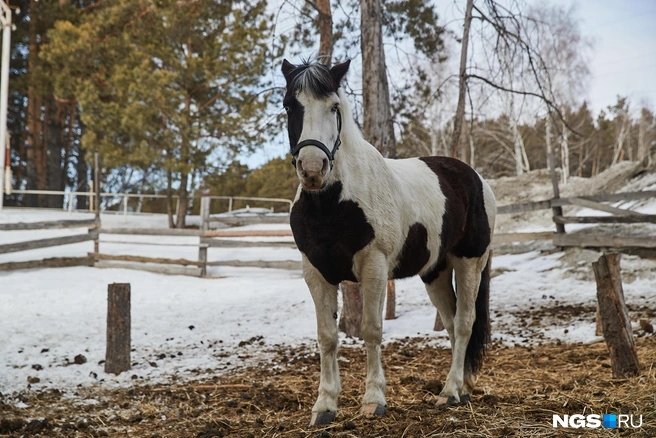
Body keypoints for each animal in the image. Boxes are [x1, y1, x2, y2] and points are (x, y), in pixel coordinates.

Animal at [281, 59, 496, 426]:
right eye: (288, 106)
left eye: (334, 107)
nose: (312, 169)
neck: (333, 203)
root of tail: (478, 178)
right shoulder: (315, 272)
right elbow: (327, 337)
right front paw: (325, 405)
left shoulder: (374, 266)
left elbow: (371, 329)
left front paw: (373, 400)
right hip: (435, 272)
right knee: (452, 325)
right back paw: (462, 387)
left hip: (470, 263)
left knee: (465, 324)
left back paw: (450, 392)